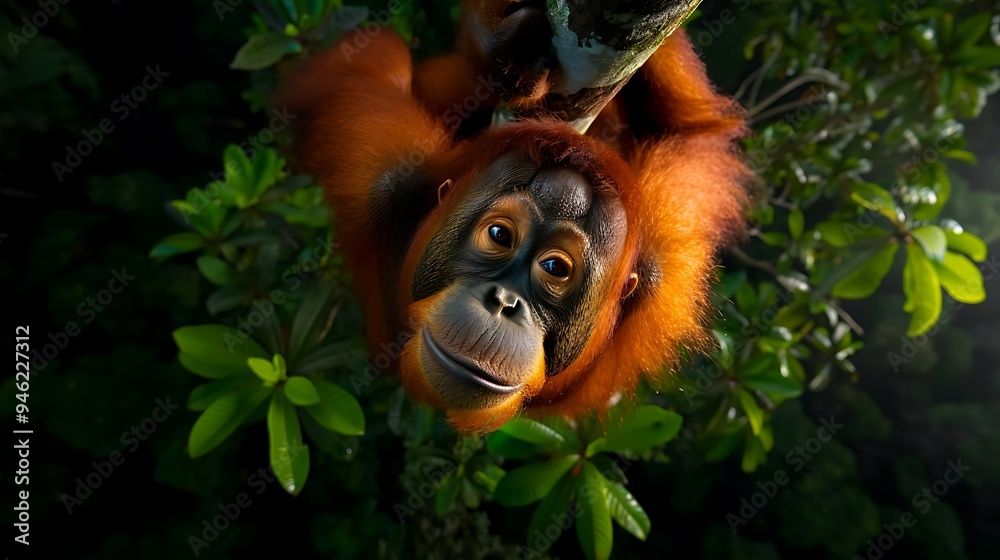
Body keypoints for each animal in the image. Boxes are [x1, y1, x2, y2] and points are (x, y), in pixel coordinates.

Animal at [281, 0, 750, 431]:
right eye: (499, 236)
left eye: (555, 267)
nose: (504, 302)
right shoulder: (383, 171)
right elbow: (357, 65)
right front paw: (499, 48)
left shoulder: (664, 265)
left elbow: (692, 138)